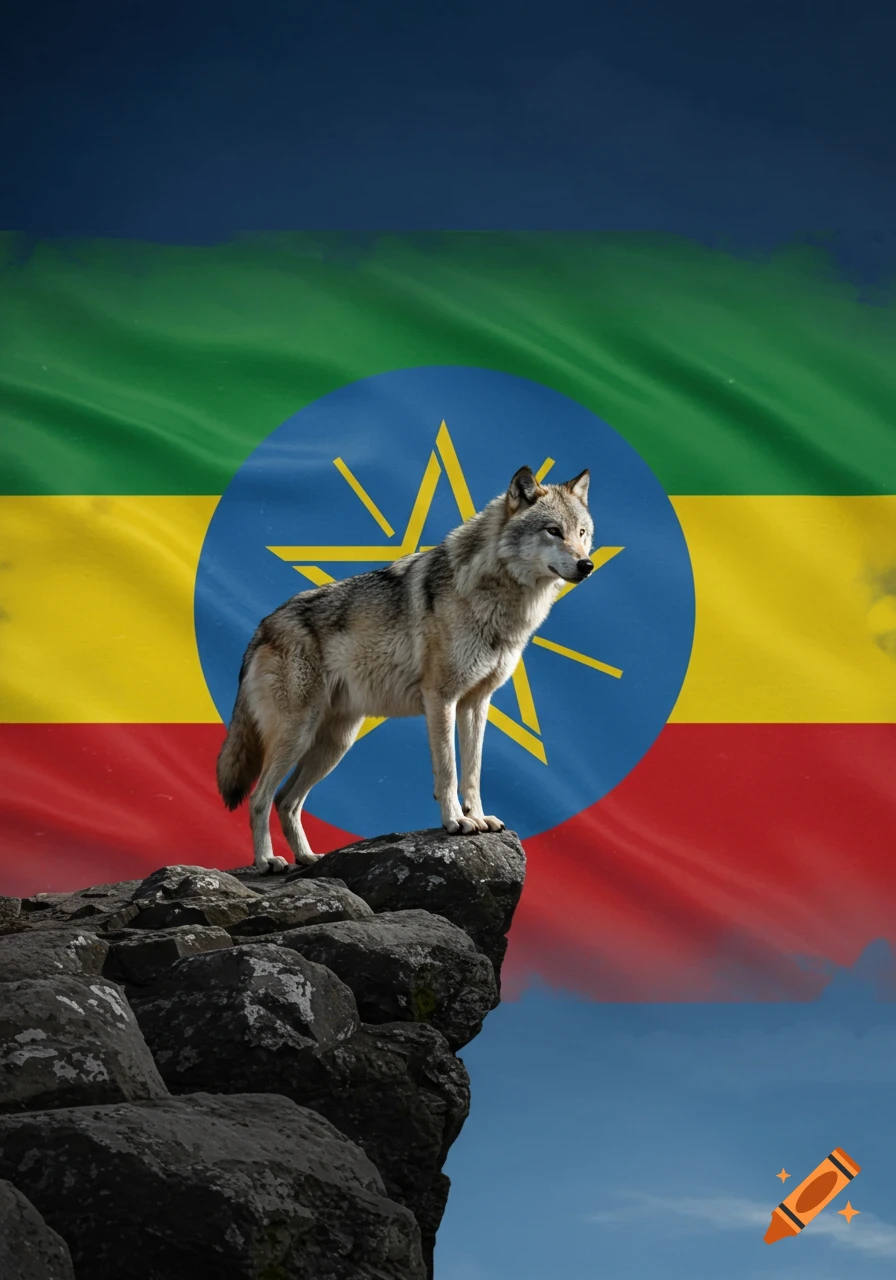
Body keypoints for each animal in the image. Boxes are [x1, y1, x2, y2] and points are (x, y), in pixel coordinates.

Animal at [216, 464, 594, 872]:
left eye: (582, 532)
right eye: (553, 530)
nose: (587, 565)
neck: (497, 601)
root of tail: (262, 627)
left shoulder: (476, 704)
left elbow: (473, 772)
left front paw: (479, 817)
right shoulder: (441, 698)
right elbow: (448, 770)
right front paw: (456, 821)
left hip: (335, 744)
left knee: (287, 800)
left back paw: (307, 857)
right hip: (297, 735)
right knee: (260, 798)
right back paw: (267, 861)